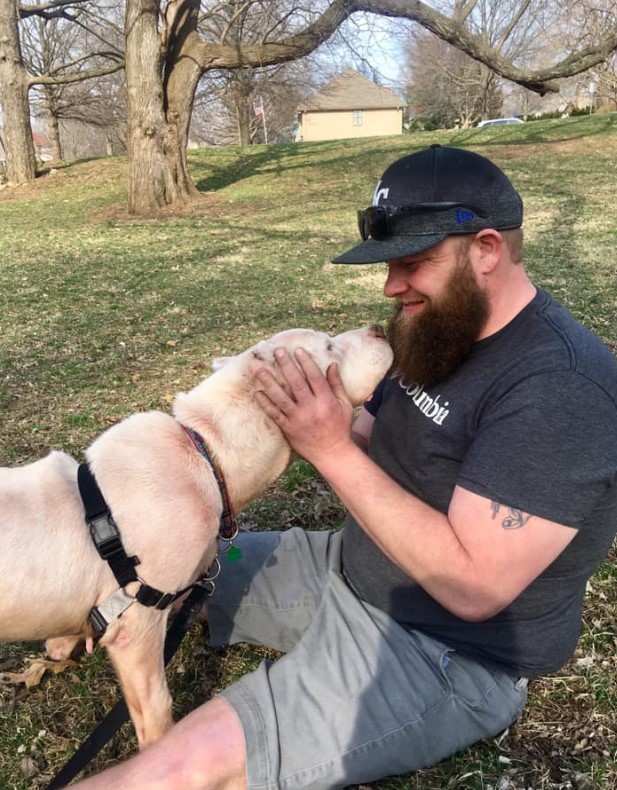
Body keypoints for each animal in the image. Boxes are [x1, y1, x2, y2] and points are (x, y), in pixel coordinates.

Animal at [0, 326, 392, 748]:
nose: (378, 328)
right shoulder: (137, 625)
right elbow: (156, 709)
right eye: (330, 346)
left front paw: (59, 647)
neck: (208, 454)